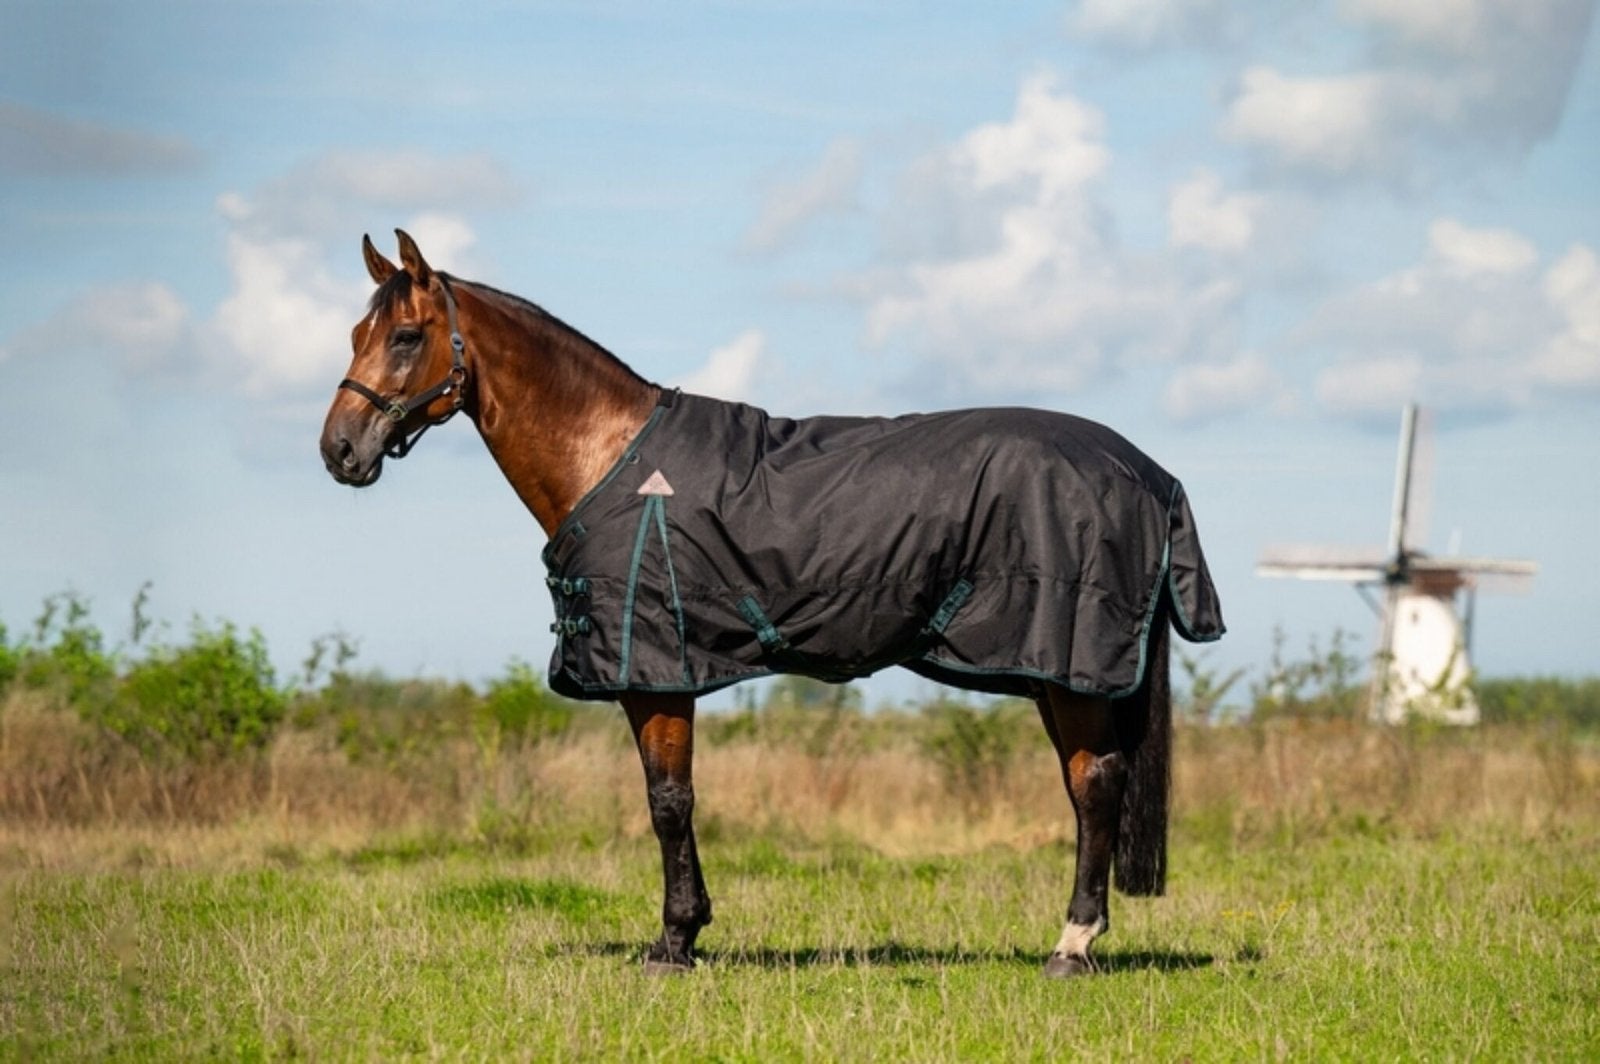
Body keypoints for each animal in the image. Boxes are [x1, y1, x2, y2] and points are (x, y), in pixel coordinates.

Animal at [320, 230, 1225, 977]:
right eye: (358, 335)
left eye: (405, 337)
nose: (339, 451)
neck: (610, 457)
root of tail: (1150, 473)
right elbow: (671, 800)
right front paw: (684, 933)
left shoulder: (658, 669)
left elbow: (669, 802)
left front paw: (674, 942)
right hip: (1056, 673)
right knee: (1086, 786)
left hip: (1066, 663)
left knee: (1096, 786)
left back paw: (1071, 947)